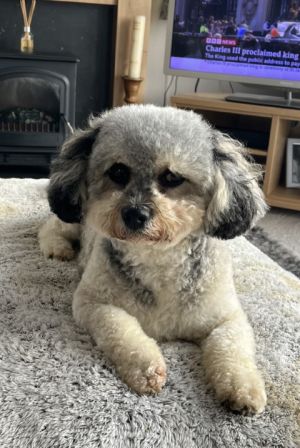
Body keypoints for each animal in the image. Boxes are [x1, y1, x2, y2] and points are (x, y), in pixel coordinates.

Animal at [39, 105, 268, 412]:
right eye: (118, 171)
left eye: (172, 178)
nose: (135, 213)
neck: (157, 259)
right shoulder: (92, 303)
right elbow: (120, 328)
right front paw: (146, 367)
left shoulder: (227, 318)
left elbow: (231, 346)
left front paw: (242, 388)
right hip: (74, 221)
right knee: (50, 227)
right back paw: (57, 248)